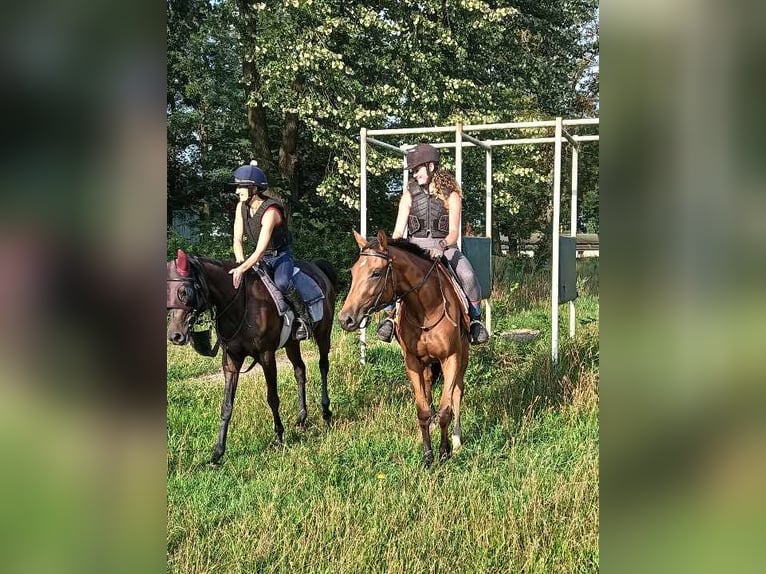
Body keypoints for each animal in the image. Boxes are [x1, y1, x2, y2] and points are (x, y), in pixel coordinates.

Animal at [168, 251, 340, 468]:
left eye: (185, 292)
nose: (175, 335)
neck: (239, 305)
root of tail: (318, 269)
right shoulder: (231, 360)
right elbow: (226, 406)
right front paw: (217, 454)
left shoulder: (267, 355)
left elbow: (272, 398)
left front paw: (279, 437)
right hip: (292, 343)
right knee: (300, 370)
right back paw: (301, 417)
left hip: (323, 333)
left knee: (323, 365)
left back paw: (326, 412)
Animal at [340, 231, 472, 468]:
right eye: (354, 271)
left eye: (376, 273)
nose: (346, 319)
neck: (426, 309)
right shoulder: (412, 361)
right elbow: (423, 410)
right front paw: (428, 456)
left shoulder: (451, 358)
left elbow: (446, 409)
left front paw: (444, 452)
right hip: (427, 363)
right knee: (428, 389)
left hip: (462, 356)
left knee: (458, 391)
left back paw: (457, 440)